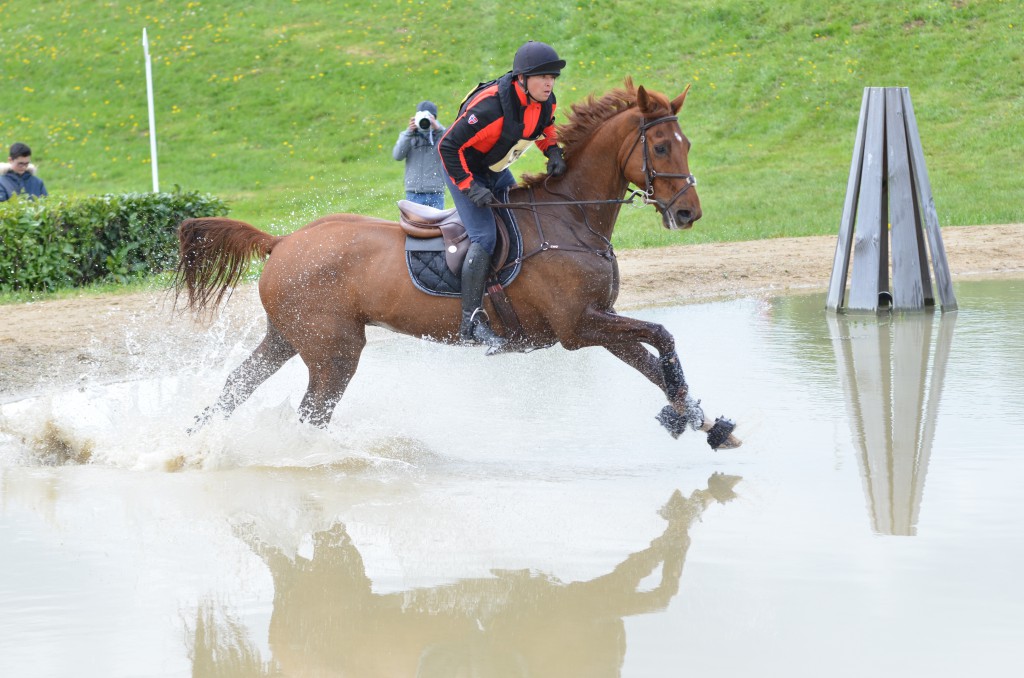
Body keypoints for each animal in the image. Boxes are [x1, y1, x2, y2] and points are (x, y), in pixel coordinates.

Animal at [172, 79, 741, 448]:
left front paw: (700, 420)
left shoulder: (600, 323)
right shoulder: (580, 327)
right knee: (312, 412)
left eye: (687, 143)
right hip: (334, 351)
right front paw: (685, 414)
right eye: (662, 147)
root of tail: (284, 240)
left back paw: (190, 442)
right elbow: (663, 336)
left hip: (289, 337)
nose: (688, 213)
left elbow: (654, 363)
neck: (572, 217)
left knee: (236, 387)